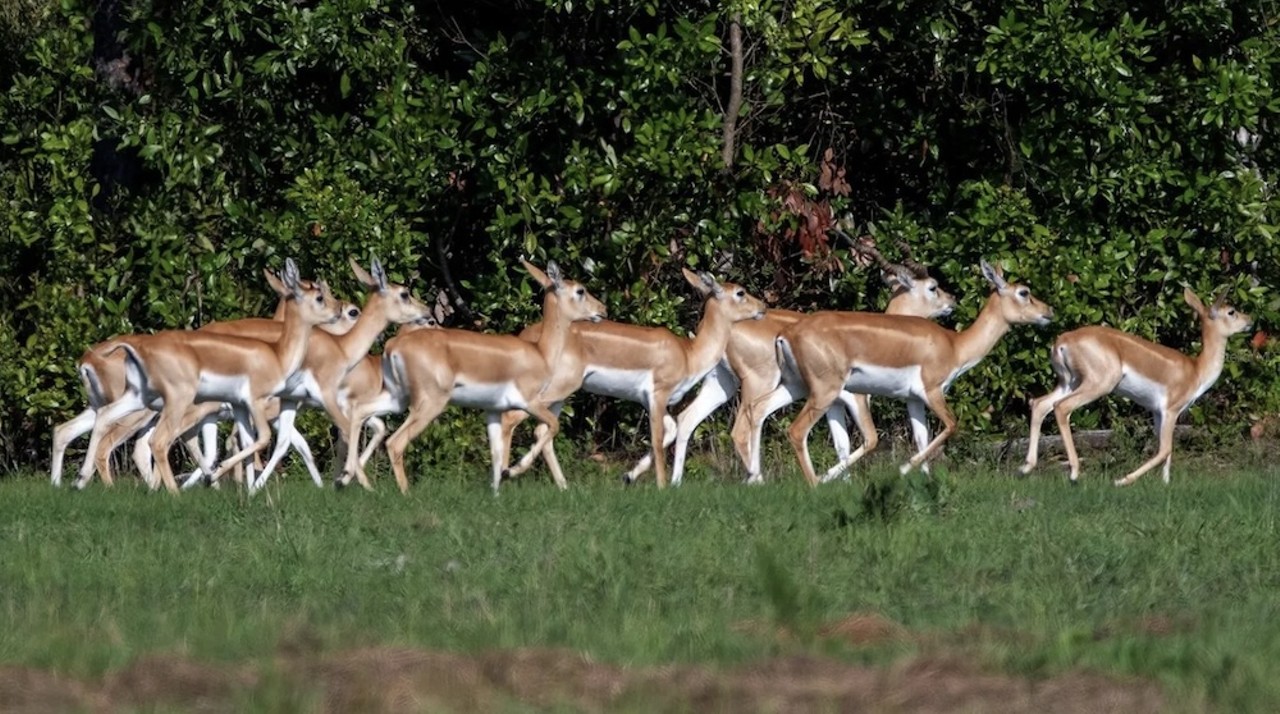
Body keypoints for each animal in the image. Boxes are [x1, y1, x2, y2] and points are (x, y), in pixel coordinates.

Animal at [337, 259, 601, 496]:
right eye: (580, 290)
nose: (602, 309)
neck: (540, 352)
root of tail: (393, 345)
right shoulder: (530, 403)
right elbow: (553, 426)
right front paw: (513, 471)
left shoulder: (493, 411)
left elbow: (496, 453)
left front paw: (497, 493)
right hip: (429, 404)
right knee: (395, 442)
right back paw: (405, 494)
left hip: (397, 399)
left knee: (361, 412)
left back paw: (344, 478)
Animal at [496, 268, 762, 486]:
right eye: (740, 292)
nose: (762, 307)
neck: (688, 353)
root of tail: (529, 337)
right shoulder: (658, 395)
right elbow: (656, 439)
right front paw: (661, 486)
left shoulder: (654, 402)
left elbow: (671, 430)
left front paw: (629, 476)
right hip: (549, 391)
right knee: (511, 418)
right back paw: (505, 475)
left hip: (560, 396)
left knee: (542, 429)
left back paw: (560, 485)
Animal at [773, 259, 1054, 488]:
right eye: (1024, 292)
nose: (1049, 311)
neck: (954, 345)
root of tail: (787, 334)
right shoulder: (932, 391)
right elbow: (952, 425)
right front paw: (904, 467)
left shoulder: (913, 399)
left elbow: (922, 437)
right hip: (825, 392)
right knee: (797, 431)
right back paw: (816, 483)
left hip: (795, 387)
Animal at [1018, 287, 1249, 488]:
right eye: (1231, 311)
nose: (1249, 320)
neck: (1196, 370)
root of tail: (1062, 341)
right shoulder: (1171, 410)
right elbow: (1165, 449)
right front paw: (1121, 480)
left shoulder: (1158, 413)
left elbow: (1166, 451)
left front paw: (1165, 484)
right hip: (1098, 384)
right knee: (1061, 407)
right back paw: (1074, 473)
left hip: (1069, 381)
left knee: (1040, 404)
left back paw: (1026, 467)